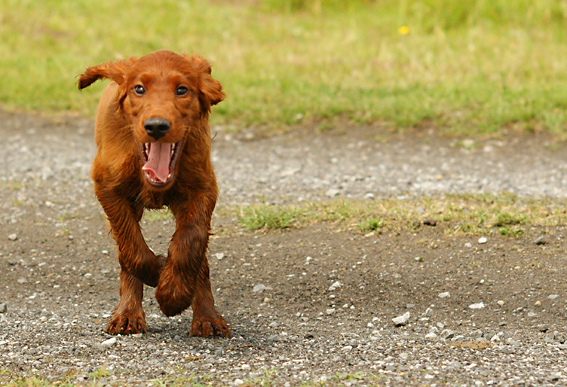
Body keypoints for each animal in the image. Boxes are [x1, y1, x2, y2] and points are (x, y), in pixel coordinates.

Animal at [77, 50, 231, 338]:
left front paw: (174, 292)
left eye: (182, 89)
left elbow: (191, 240)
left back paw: (207, 318)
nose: (157, 126)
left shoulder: (203, 187)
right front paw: (159, 270)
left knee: (200, 258)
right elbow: (131, 249)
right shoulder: (107, 187)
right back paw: (128, 315)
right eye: (139, 89)